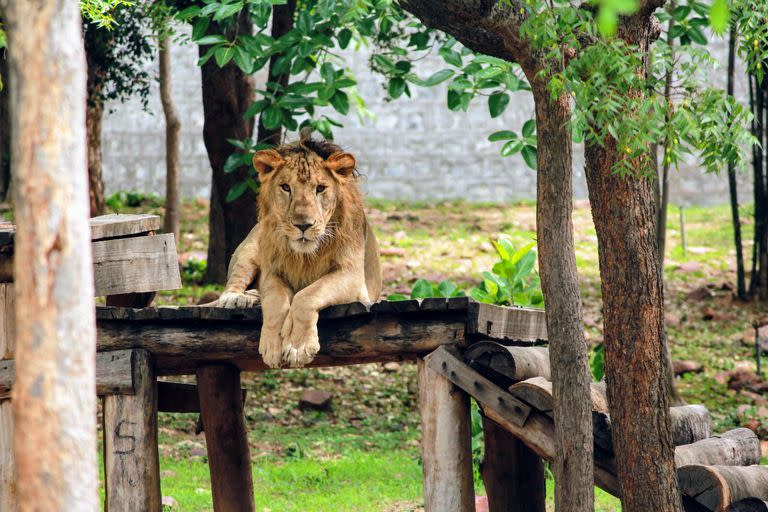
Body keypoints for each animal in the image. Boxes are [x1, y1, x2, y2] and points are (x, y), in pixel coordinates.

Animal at [214, 128, 382, 368]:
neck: (305, 256)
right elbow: (276, 303)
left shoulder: (352, 277)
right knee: (235, 280)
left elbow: (307, 295)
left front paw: (298, 347)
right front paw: (273, 346)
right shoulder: (272, 272)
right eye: (286, 187)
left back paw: (253, 296)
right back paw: (237, 297)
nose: (303, 225)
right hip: (248, 251)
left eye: (320, 188)